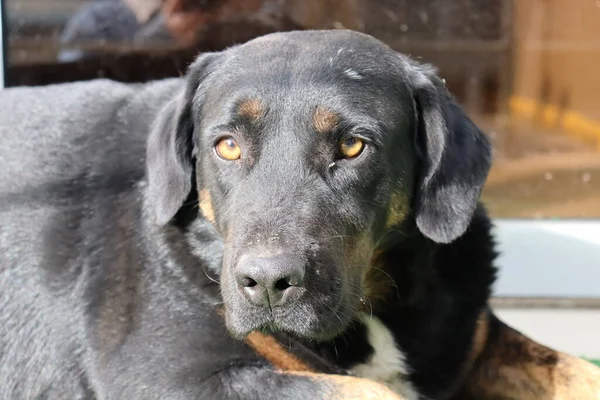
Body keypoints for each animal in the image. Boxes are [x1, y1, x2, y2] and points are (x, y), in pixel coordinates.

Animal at [1, 29, 600, 398]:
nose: (267, 283)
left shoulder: (473, 335)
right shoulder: (173, 376)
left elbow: (575, 369)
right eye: (227, 146)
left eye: (353, 146)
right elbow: (370, 390)